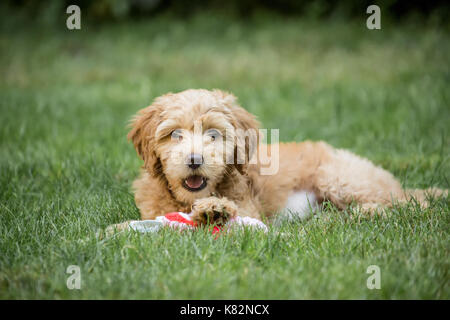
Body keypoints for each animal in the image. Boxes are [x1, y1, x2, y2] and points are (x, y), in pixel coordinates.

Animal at [110, 89, 446, 231]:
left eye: (214, 134)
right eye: (175, 134)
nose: (194, 160)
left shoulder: (249, 209)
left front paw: (214, 210)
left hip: (341, 178)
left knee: (409, 205)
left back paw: (366, 213)